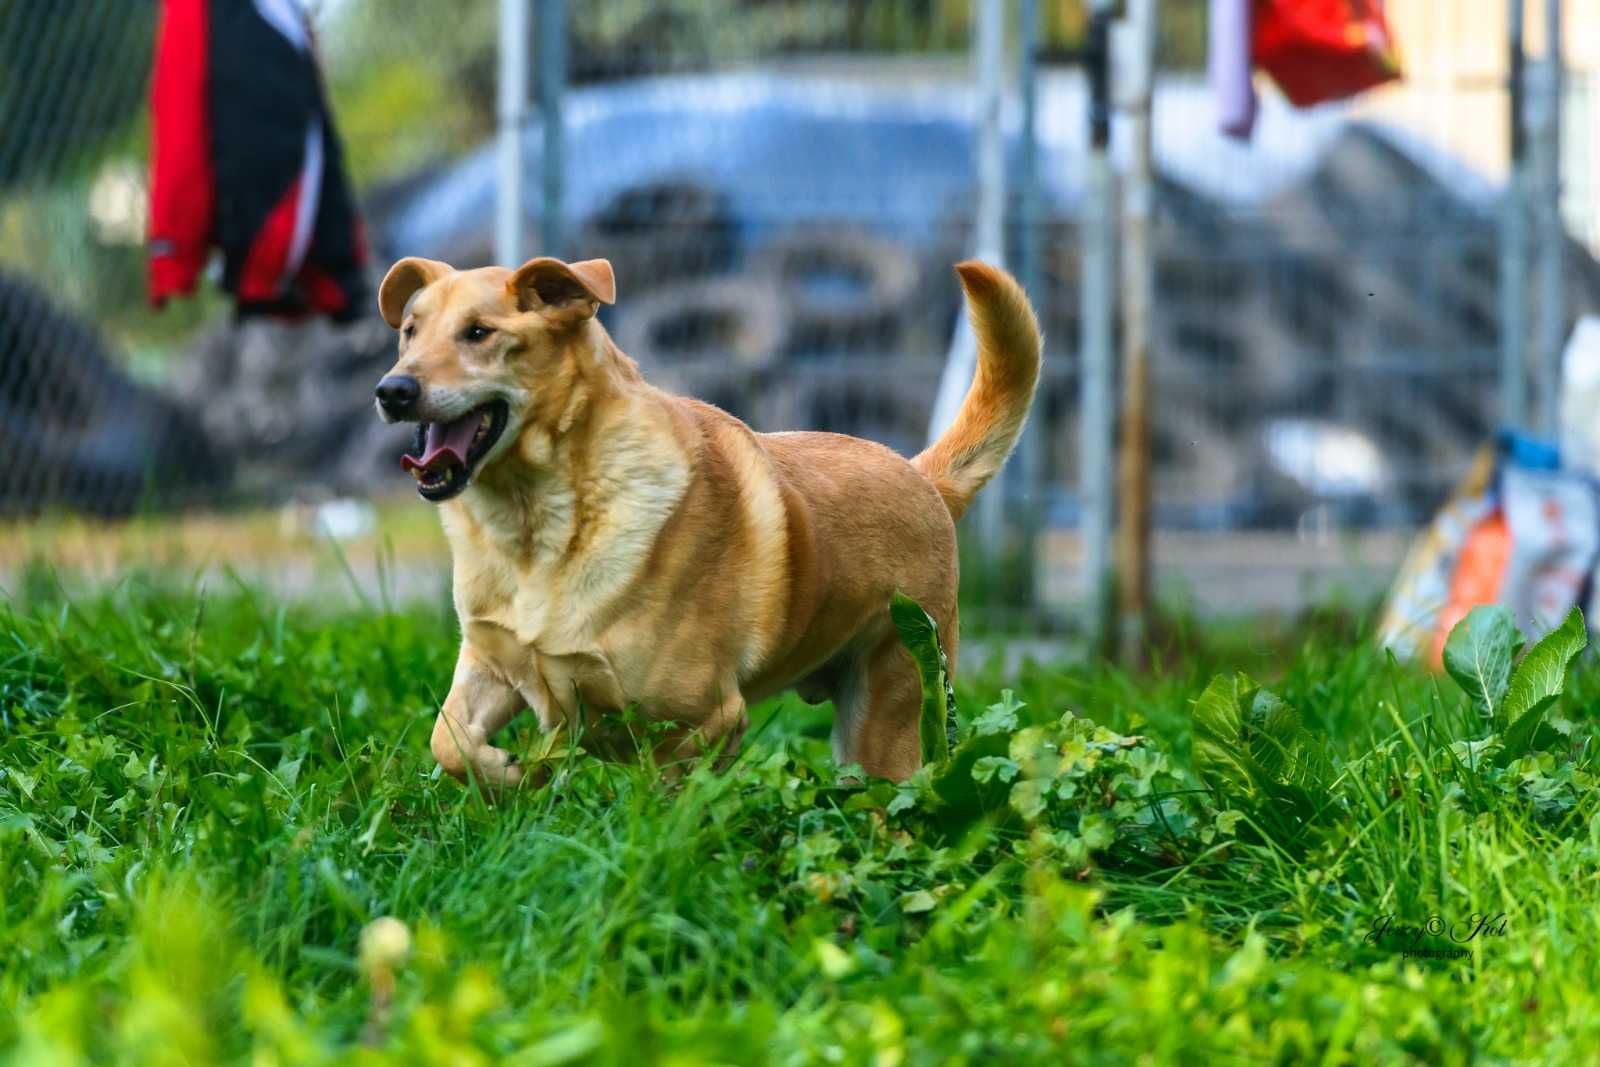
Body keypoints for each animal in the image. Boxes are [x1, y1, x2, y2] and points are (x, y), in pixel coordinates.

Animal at [376, 252, 1043, 783]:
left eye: (479, 333)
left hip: (887, 714)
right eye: (409, 332)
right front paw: (509, 773)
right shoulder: (493, 663)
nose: (392, 390)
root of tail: (922, 475)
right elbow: (449, 740)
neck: (535, 523)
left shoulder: (703, 721)